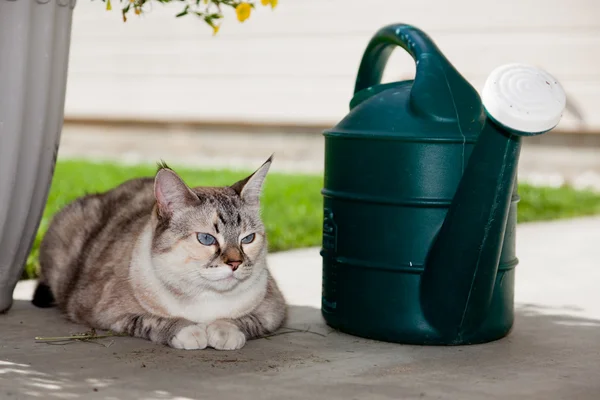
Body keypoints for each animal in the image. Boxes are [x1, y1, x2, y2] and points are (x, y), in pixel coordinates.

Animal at [31, 156, 288, 350]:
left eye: (248, 239)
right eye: (206, 239)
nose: (235, 263)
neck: (205, 297)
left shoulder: (274, 310)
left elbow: (246, 320)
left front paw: (224, 331)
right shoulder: (105, 313)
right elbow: (150, 321)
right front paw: (189, 331)